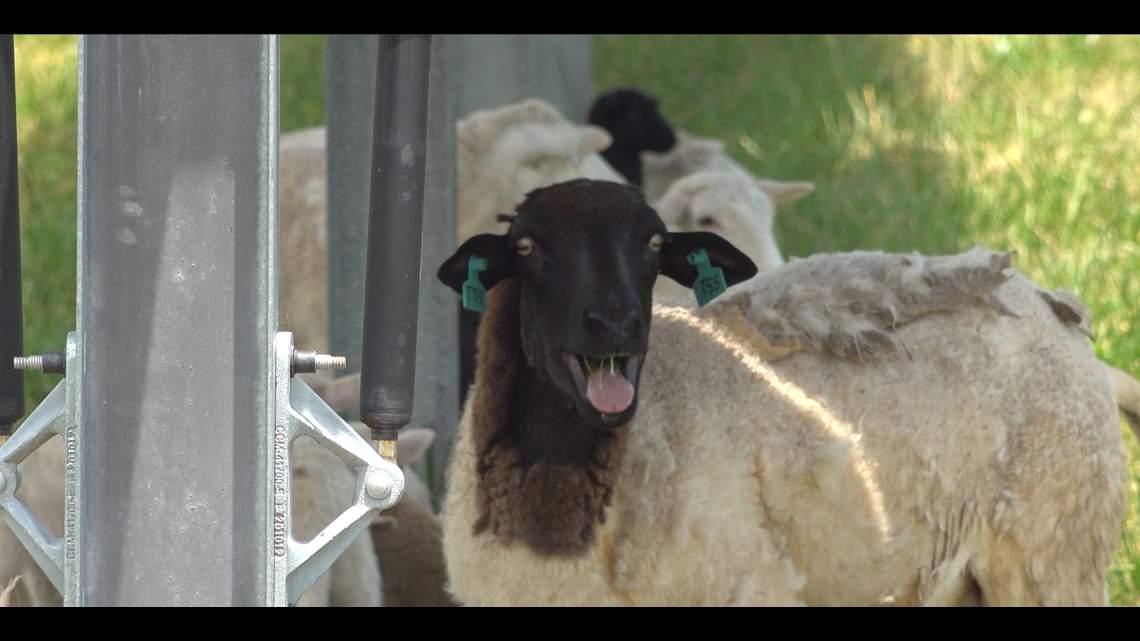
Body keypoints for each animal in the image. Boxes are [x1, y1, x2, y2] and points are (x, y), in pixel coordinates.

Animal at [435, 178, 1129, 606]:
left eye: (655, 245)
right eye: (526, 248)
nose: (616, 325)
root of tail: (1044, 302)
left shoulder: (750, 582)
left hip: (1054, 551)